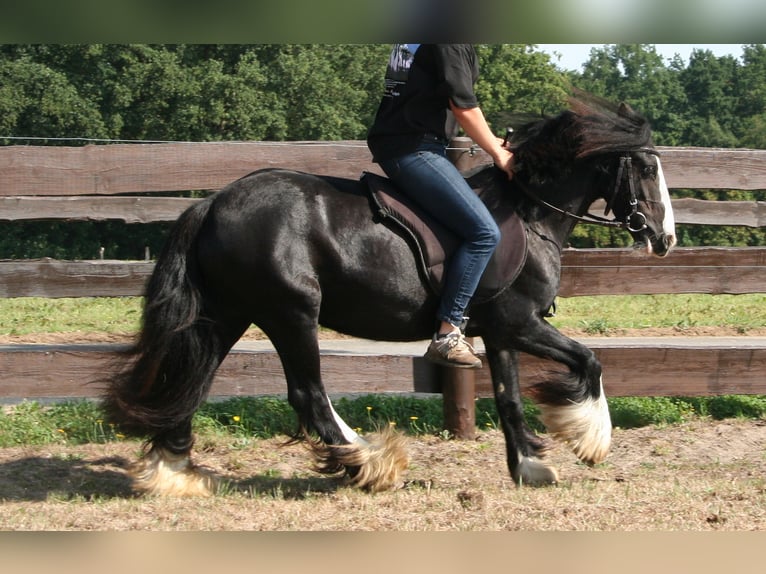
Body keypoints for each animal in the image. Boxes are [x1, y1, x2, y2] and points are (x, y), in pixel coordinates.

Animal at [103, 94, 680, 496]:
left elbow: (511, 398)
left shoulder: (499, 332)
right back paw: (372, 464)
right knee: (307, 395)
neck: (529, 211)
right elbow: (589, 360)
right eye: (647, 167)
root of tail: (214, 203)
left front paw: (531, 466)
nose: (666, 239)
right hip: (291, 312)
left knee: (191, 380)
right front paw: (589, 440)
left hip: (227, 315)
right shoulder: (520, 322)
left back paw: (172, 471)